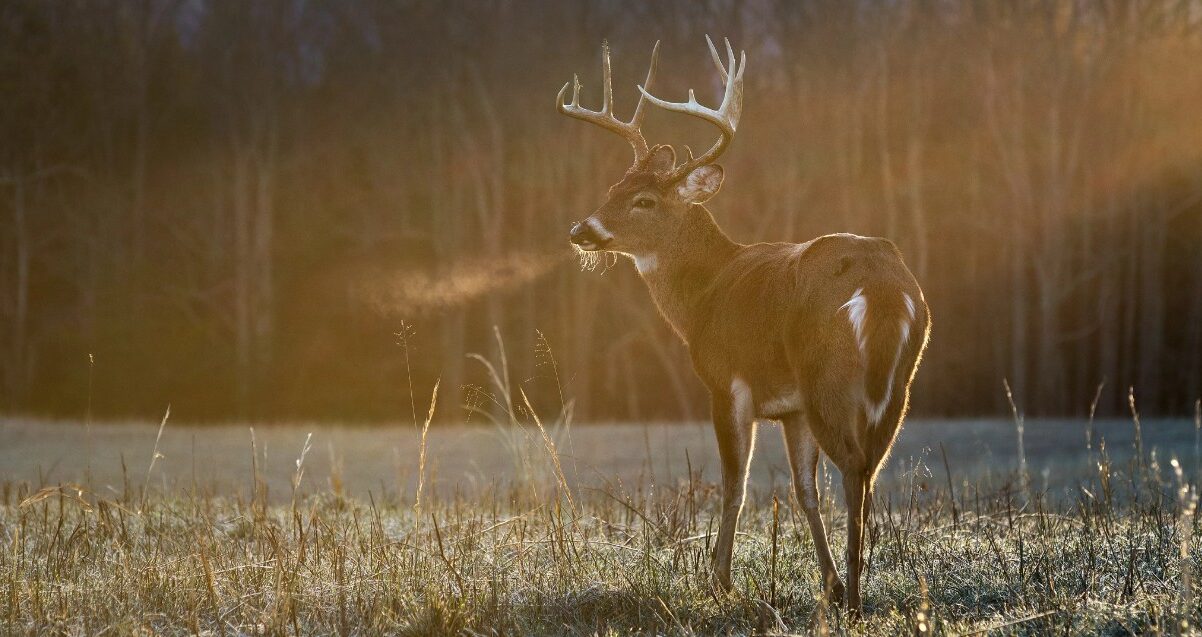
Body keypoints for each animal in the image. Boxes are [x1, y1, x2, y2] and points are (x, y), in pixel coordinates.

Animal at [556, 37, 931, 616]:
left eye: (644, 200)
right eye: (614, 186)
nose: (581, 230)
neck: (703, 295)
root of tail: (886, 292)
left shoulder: (727, 380)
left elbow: (735, 482)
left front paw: (720, 581)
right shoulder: (791, 407)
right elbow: (804, 490)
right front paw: (825, 581)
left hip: (828, 378)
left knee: (854, 465)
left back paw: (855, 599)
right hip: (898, 385)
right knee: (869, 470)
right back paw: (851, 587)